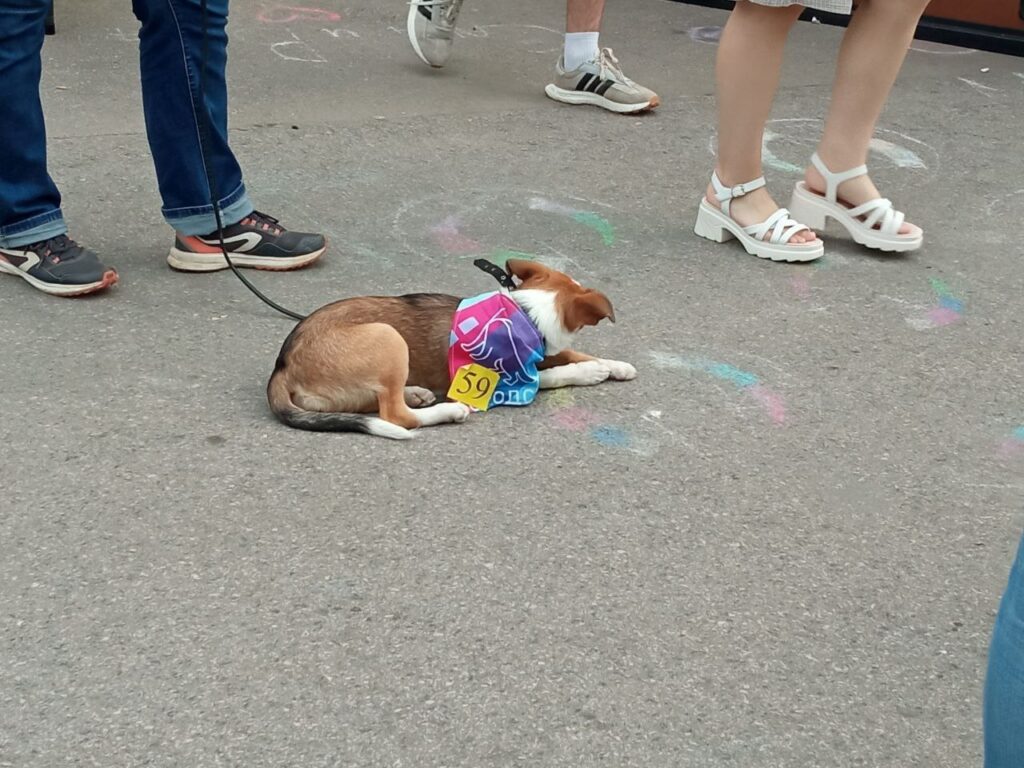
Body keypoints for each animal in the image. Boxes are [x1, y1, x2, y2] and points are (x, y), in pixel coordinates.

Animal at [268, 259, 634, 438]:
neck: (524, 313)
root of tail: (283, 366)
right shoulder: (506, 380)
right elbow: (558, 372)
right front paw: (589, 371)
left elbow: (573, 354)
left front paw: (615, 365)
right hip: (388, 337)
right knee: (397, 416)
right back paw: (448, 410)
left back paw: (417, 393)